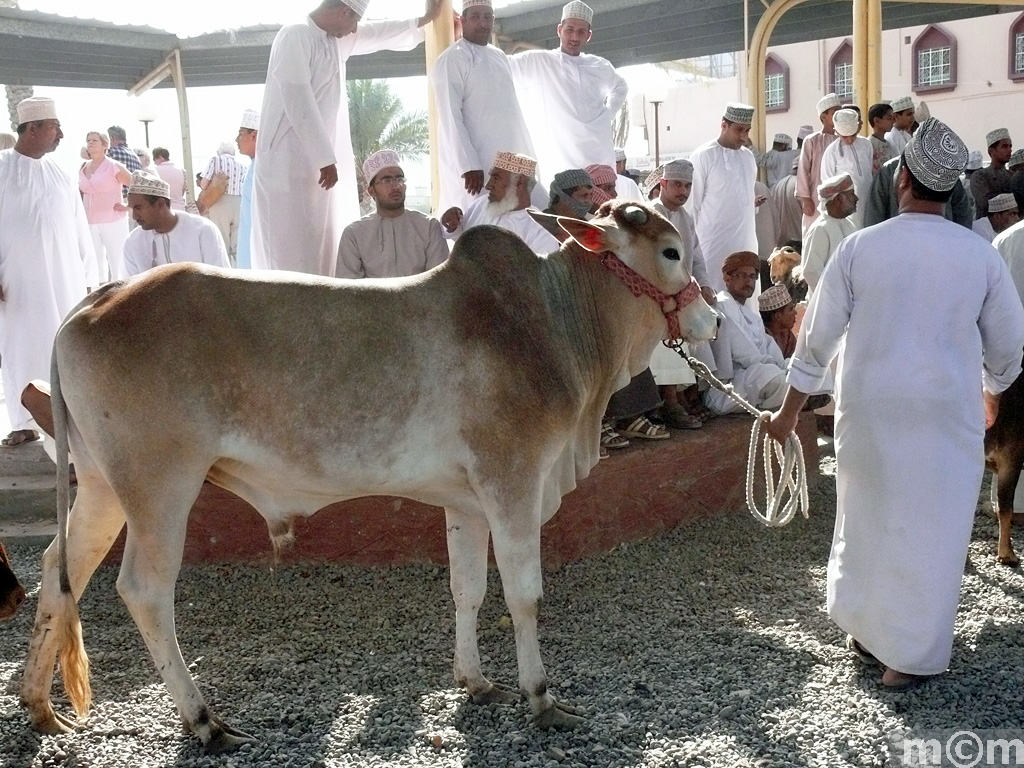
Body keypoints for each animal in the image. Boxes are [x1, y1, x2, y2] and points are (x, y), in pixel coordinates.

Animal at [19, 202, 716, 753]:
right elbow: (524, 596)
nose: (710, 321)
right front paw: (540, 698)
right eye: (671, 250)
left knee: (59, 569)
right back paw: (206, 722)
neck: (552, 323)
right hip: (160, 487)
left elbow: (468, 589)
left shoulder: (466, 501)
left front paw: (476, 682)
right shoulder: (513, 481)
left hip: (102, 488)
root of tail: (95, 298)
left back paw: (40, 707)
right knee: (143, 590)